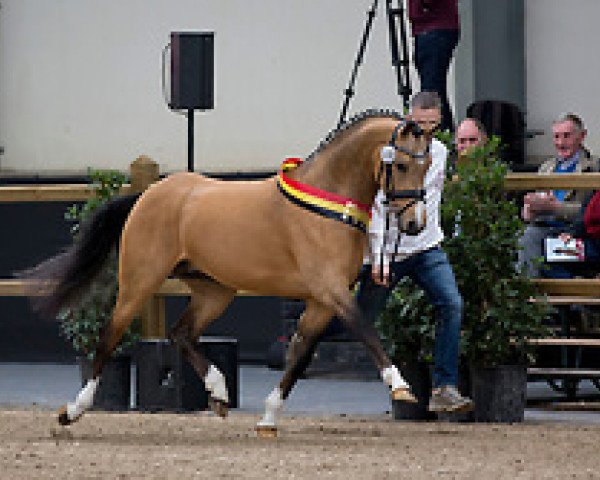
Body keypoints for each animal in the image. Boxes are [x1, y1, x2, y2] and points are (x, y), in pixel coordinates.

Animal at [28, 109, 432, 436]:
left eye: (428, 165)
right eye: (400, 165)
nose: (414, 224)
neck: (328, 200)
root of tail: (148, 194)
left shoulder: (320, 302)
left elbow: (300, 355)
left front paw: (268, 418)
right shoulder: (330, 289)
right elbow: (365, 330)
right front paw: (401, 386)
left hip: (215, 291)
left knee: (182, 333)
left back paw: (219, 394)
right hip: (139, 282)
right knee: (110, 336)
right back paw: (74, 411)